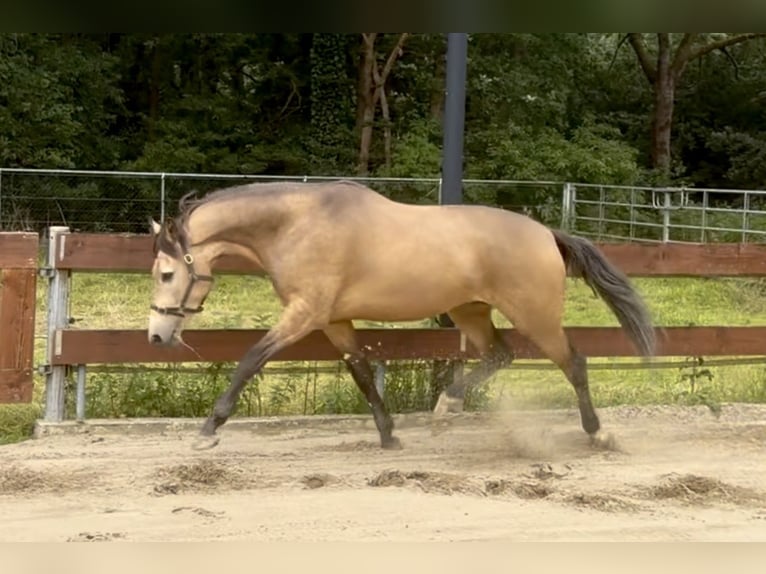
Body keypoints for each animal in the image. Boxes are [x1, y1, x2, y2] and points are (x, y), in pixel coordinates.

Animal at [147, 179, 655, 451]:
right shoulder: (333, 322)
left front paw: (208, 431)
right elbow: (361, 373)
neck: (300, 225)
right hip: (469, 312)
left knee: (574, 363)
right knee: (499, 356)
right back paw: (445, 409)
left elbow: (250, 360)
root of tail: (547, 234)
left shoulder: (304, 314)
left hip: (536, 316)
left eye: (167, 273)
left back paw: (598, 434)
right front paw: (389, 436)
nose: (156, 335)